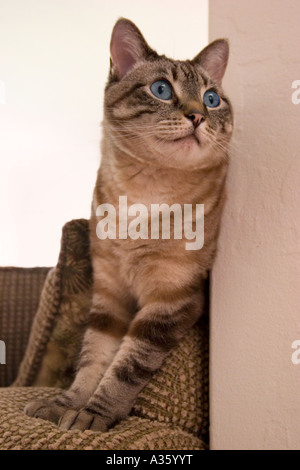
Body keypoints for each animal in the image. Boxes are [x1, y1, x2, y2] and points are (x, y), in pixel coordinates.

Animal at [24, 17, 233, 430]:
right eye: (161, 89)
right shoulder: (109, 298)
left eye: (211, 99)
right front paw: (64, 406)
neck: (142, 193)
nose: (198, 115)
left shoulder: (168, 302)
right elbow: (91, 363)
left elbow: (124, 369)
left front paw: (92, 417)